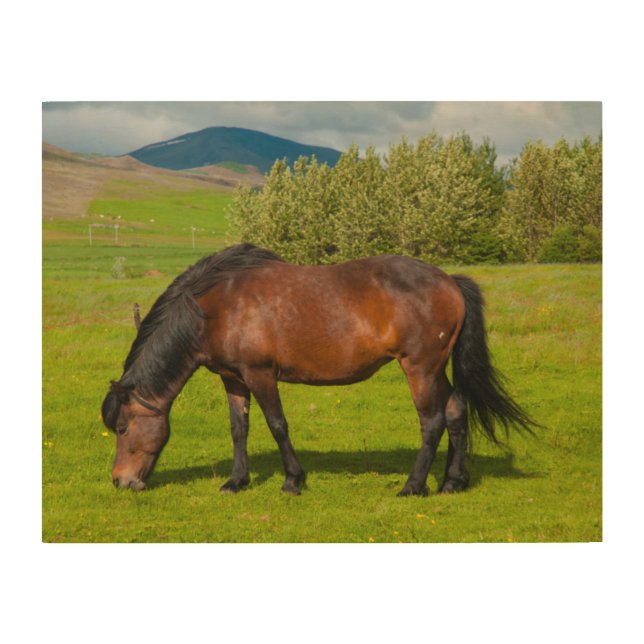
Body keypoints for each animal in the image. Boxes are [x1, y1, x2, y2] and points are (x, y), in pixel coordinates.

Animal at [101, 243, 537, 495]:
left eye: (122, 428)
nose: (121, 481)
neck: (216, 306)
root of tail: (450, 281)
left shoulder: (260, 375)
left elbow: (277, 425)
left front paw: (293, 481)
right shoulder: (233, 378)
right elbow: (239, 429)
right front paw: (237, 481)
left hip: (421, 369)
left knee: (432, 422)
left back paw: (413, 486)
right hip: (437, 369)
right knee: (456, 412)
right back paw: (452, 482)